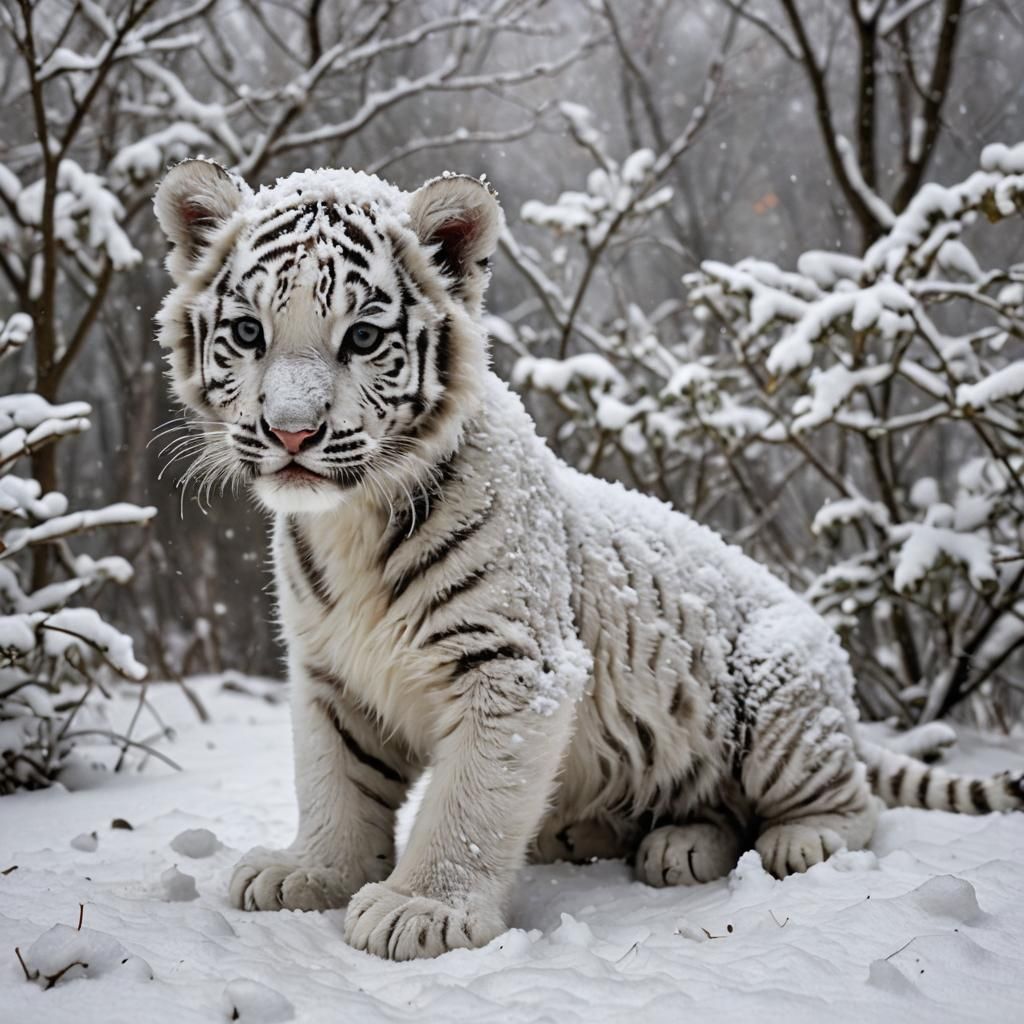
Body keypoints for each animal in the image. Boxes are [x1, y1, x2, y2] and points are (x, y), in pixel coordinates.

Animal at [153, 159, 1024, 962]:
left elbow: (467, 806)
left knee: (849, 803)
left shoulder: (515, 668)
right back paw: (642, 840)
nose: (291, 432)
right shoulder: (332, 672)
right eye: (248, 333)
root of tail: (840, 694)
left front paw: (422, 909)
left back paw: (797, 839)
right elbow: (335, 782)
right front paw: (312, 872)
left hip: (780, 690)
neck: (350, 521)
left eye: (362, 338)